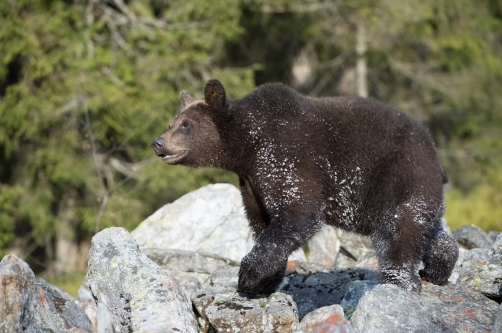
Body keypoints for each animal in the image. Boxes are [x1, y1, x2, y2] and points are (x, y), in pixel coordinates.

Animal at [152, 79, 458, 292]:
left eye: (186, 125)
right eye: (171, 122)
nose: (158, 142)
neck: (248, 147)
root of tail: (436, 156)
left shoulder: (287, 159)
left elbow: (297, 214)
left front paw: (247, 276)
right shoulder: (251, 183)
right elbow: (262, 223)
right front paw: (266, 279)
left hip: (401, 179)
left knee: (396, 235)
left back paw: (399, 282)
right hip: (418, 193)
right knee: (427, 230)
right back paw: (437, 269)